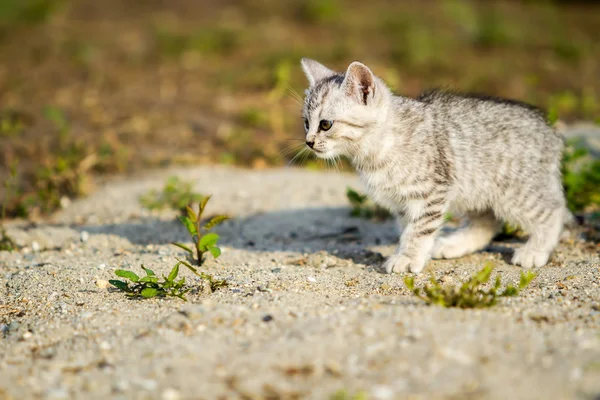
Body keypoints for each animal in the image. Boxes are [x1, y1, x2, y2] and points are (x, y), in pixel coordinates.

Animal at [302, 57, 568, 274]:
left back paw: (536, 250)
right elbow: (409, 228)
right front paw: (410, 252)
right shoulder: (404, 201)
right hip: (474, 188)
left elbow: (419, 228)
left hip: (514, 192)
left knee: (554, 210)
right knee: (488, 221)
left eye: (325, 124)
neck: (377, 148)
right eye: (306, 122)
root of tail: (550, 133)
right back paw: (455, 245)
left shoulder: (430, 192)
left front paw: (408, 257)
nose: (309, 142)